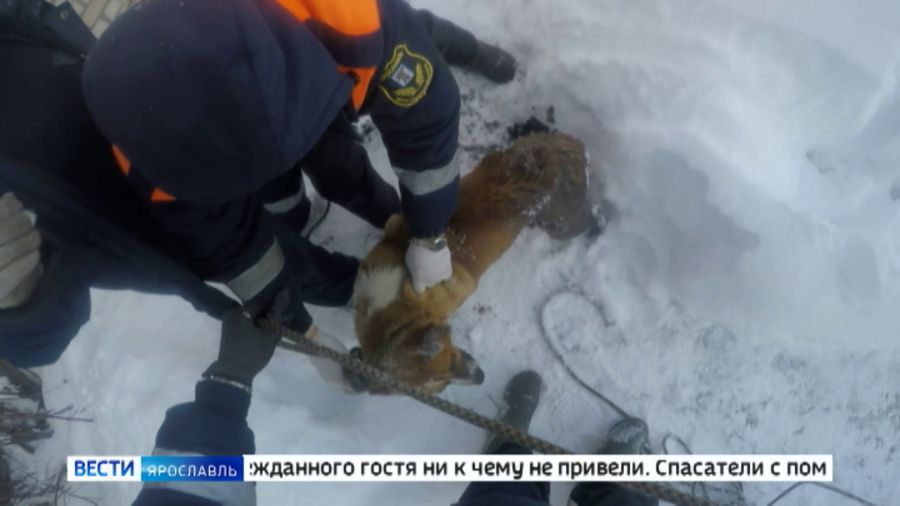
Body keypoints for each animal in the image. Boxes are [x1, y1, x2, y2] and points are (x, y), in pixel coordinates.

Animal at [354, 132, 596, 394]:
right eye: (442, 387)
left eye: (451, 359)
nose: (480, 377)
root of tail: (558, 152)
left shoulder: (456, 285)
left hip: (561, 225)